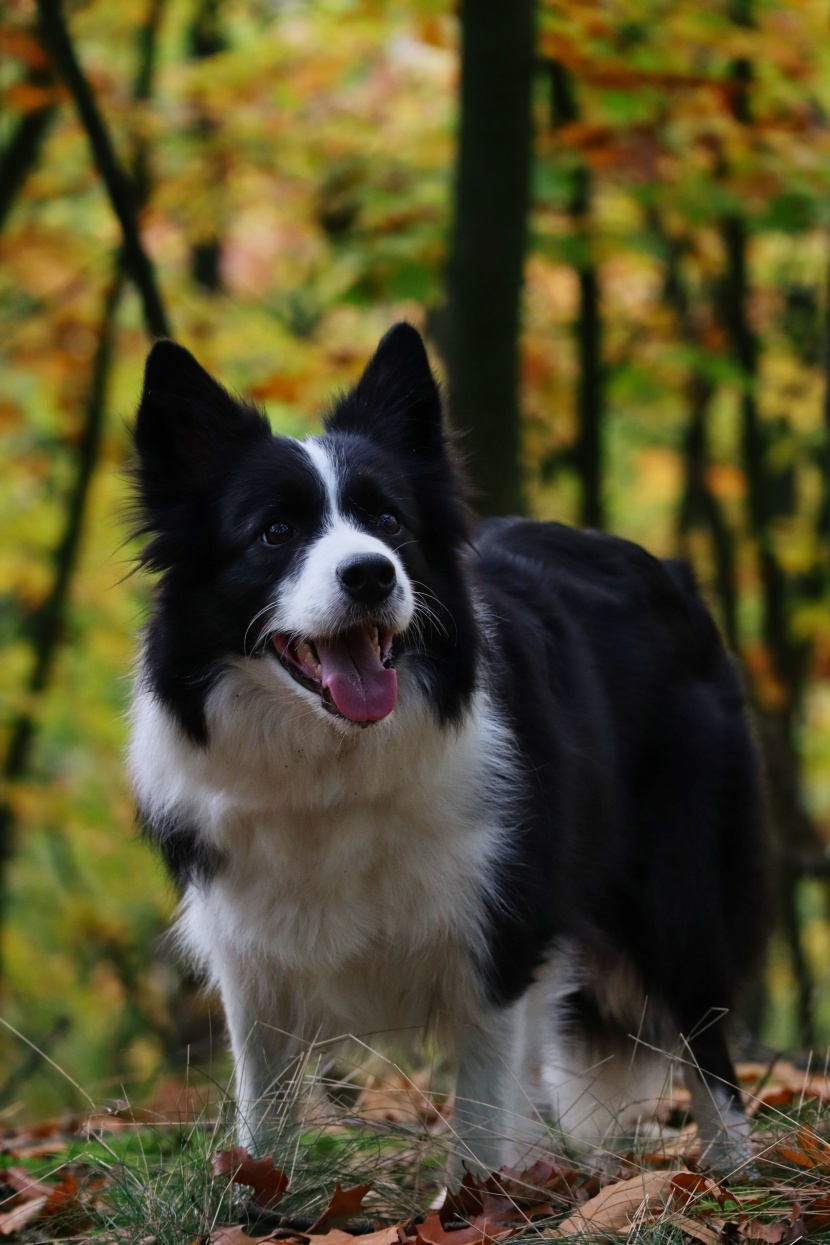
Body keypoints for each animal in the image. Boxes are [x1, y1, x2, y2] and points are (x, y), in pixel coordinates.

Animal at [131, 323, 771, 1175]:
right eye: (275, 532)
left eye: (390, 521)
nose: (371, 574)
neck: (333, 763)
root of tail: (669, 570)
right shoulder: (254, 958)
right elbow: (264, 1115)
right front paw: (261, 1195)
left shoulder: (498, 934)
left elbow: (478, 1118)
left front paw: (476, 1197)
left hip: (680, 882)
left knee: (707, 1045)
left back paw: (735, 1172)